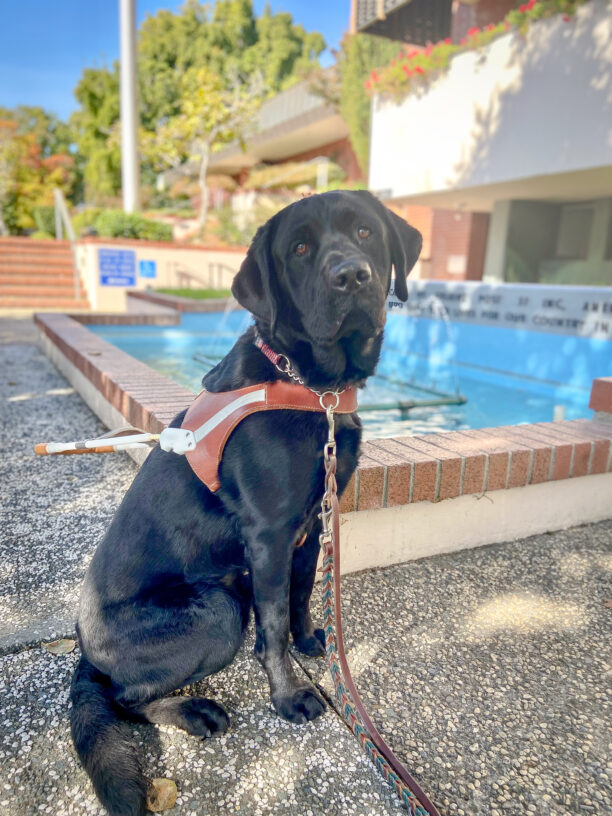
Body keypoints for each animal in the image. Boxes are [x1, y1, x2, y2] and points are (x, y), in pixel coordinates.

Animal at [69, 188, 418, 812]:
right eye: (299, 249)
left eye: (366, 232)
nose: (352, 276)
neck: (312, 387)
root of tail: (85, 652)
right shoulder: (269, 535)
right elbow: (272, 625)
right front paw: (288, 698)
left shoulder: (311, 525)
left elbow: (300, 597)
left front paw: (310, 640)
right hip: (219, 609)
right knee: (126, 699)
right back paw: (192, 711)